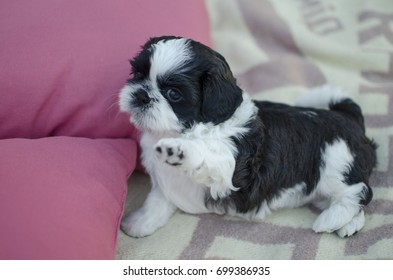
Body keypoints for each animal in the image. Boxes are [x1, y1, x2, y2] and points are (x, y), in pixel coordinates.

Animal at [118, 36, 376, 238]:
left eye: (173, 94)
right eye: (138, 74)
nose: (141, 95)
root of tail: (348, 117)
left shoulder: (229, 169)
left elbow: (206, 154)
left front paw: (179, 150)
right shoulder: (163, 181)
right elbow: (156, 202)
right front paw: (140, 223)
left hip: (335, 162)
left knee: (359, 191)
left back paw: (333, 219)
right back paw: (349, 224)